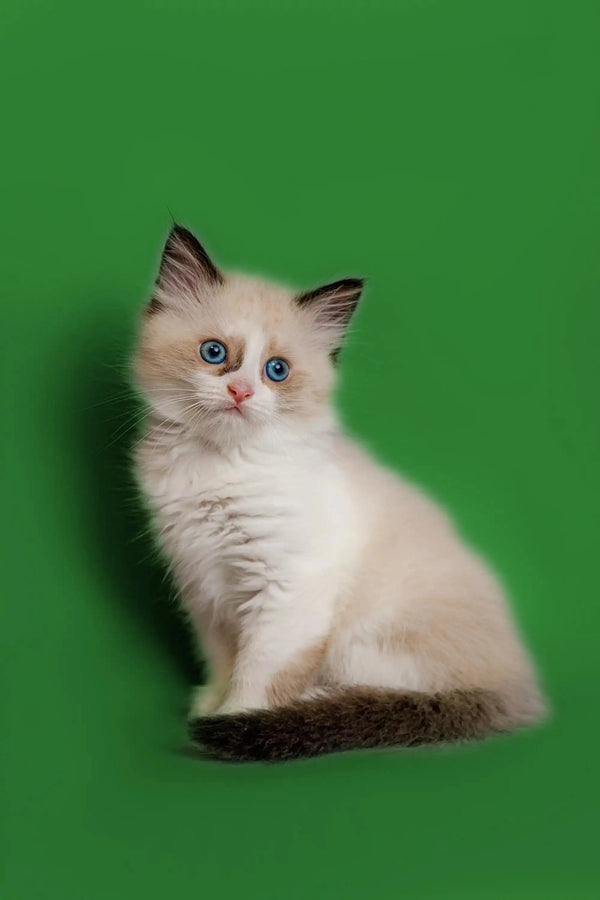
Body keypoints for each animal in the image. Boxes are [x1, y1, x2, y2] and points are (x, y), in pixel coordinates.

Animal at [134, 223, 548, 760]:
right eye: (214, 353)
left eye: (276, 371)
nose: (241, 393)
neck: (218, 465)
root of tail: (518, 686)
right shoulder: (205, 589)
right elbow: (224, 660)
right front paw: (211, 704)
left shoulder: (289, 590)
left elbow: (259, 671)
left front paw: (239, 717)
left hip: (365, 641)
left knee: (391, 696)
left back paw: (313, 703)